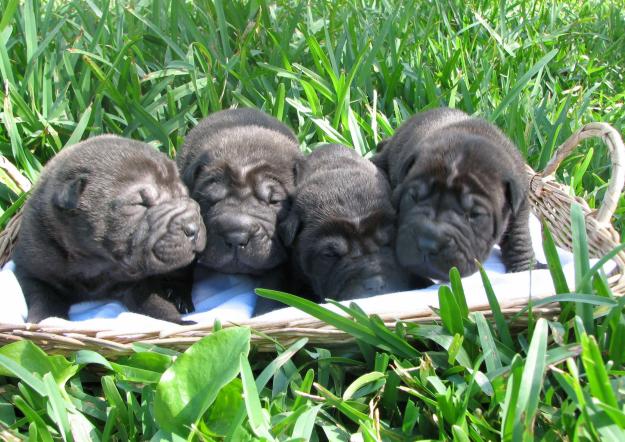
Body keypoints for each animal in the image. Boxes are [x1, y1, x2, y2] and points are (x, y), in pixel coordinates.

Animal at [12, 133, 207, 322]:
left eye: (184, 194)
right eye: (139, 204)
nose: (194, 228)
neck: (96, 262)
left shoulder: (140, 282)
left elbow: (155, 303)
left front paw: (178, 321)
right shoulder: (32, 269)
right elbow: (44, 298)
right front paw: (46, 320)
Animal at [372, 107, 532, 280]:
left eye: (475, 214)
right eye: (413, 198)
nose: (427, 243)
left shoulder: (521, 202)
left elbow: (520, 236)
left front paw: (525, 266)